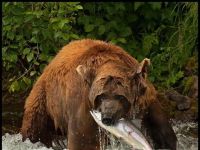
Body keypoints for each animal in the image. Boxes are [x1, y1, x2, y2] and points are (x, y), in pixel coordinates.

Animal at [20, 39, 177, 149]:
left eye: (120, 96)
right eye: (100, 96)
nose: (107, 117)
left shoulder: (146, 101)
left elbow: (164, 133)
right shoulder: (85, 106)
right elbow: (83, 142)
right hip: (45, 99)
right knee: (34, 125)